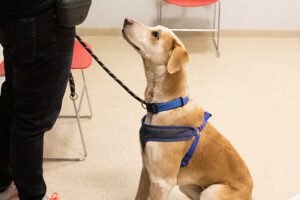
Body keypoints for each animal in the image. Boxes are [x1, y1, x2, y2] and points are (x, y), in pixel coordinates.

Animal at [122, 18, 253, 199]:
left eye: (155, 34)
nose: (126, 20)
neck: (164, 106)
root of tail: (251, 193)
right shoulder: (146, 170)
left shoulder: (162, 182)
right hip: (189, 186)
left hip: (212, 191)